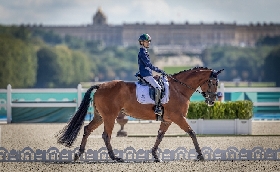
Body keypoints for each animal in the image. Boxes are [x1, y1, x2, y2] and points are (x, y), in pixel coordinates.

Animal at [56, 66, 223, 162]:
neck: (178, 89)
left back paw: (79, 154)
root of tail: (100, 86)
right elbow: (192, 133)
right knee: (106, 135)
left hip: (99, 116)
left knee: (87, 129)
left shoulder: (168, 120)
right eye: (213, 83)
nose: (212, 101)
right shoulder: (178, 117)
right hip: (109, 117)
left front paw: (155, 155)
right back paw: (115, 157)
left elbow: (160, 136)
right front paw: (200, 155)